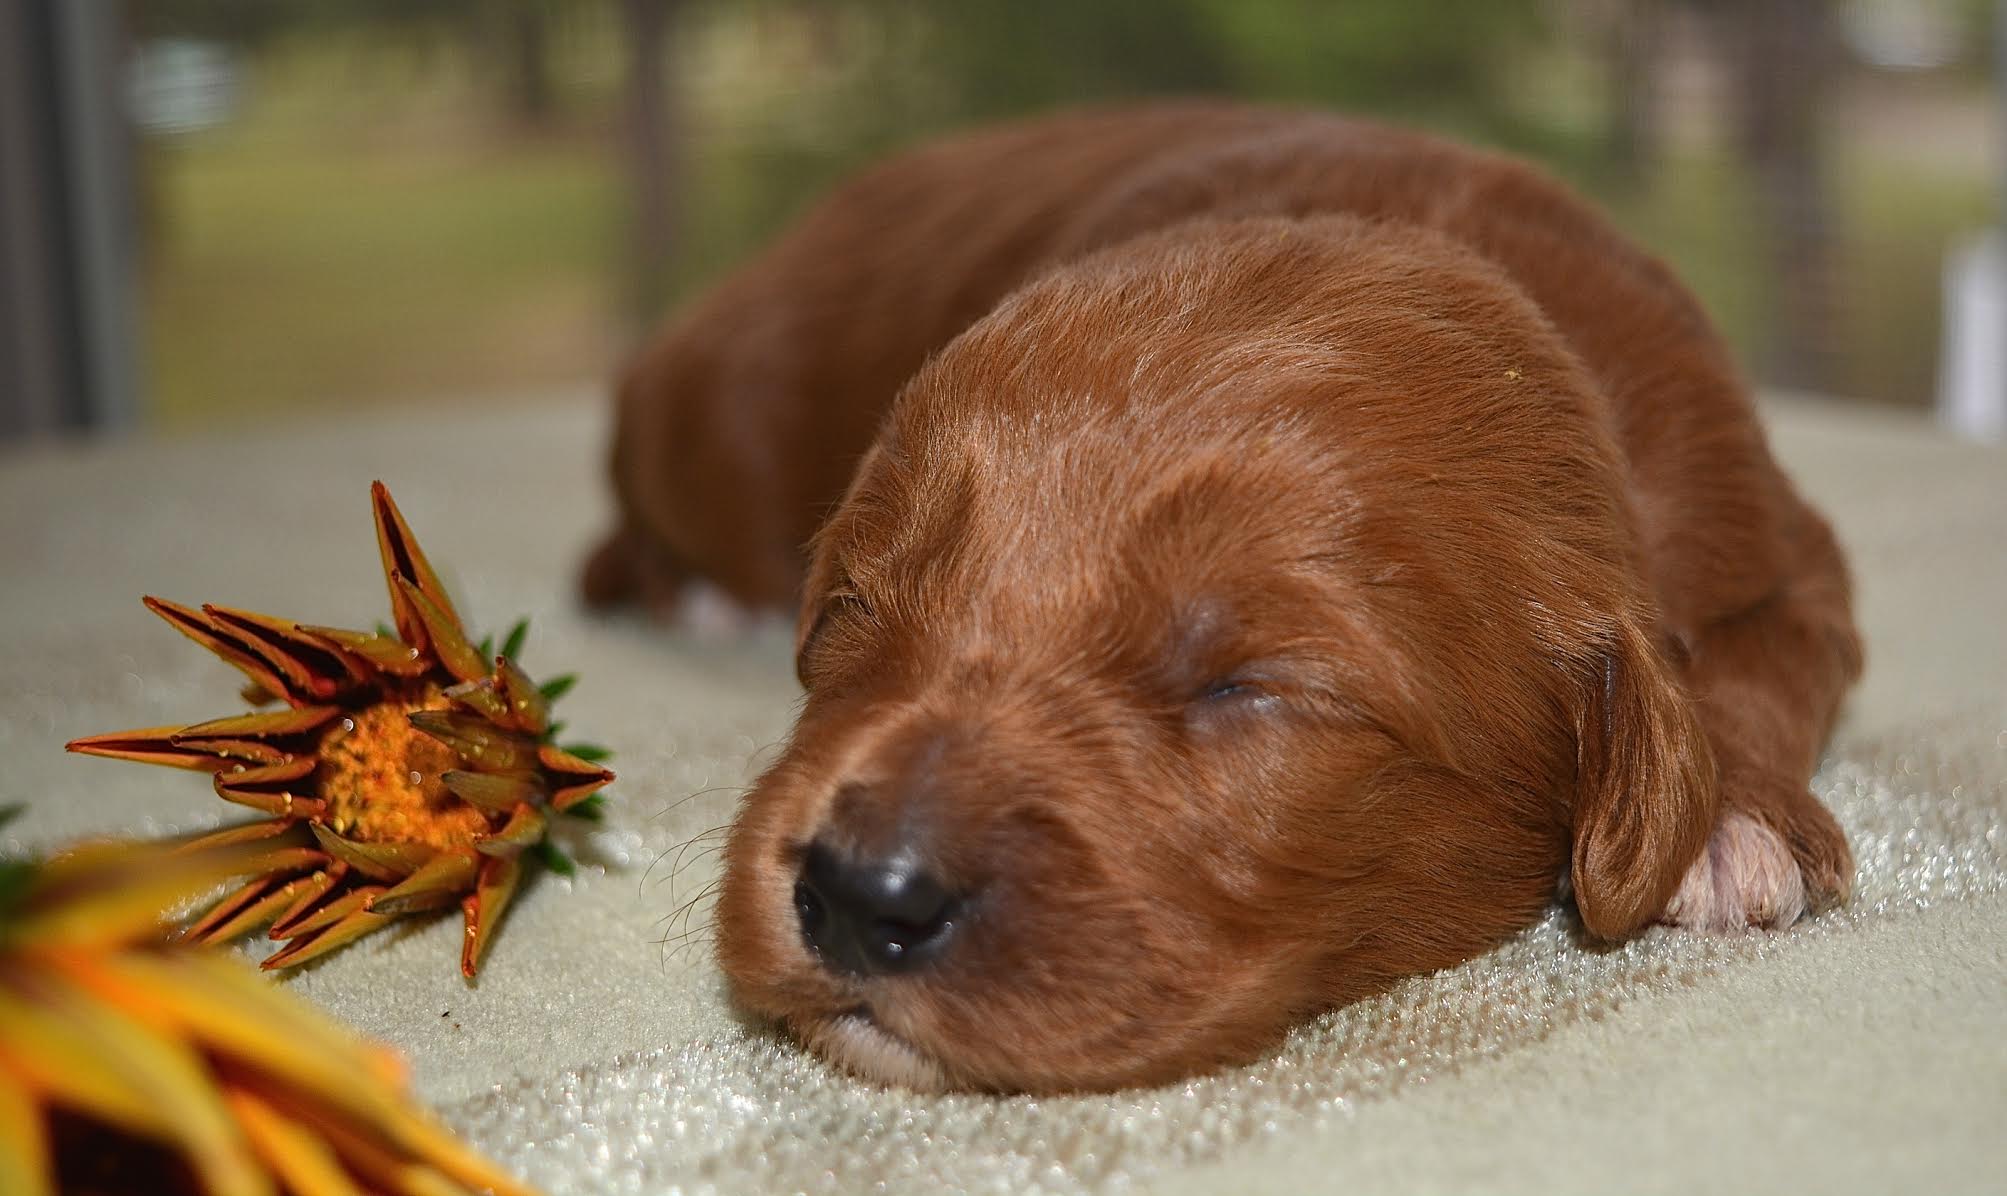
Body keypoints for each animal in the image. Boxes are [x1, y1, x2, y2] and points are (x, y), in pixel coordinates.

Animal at [586, 102, 1862, 1091]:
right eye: (859, 600)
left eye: (1246, 687)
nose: (862, 895)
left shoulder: (1782, 536)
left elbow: (1773, 657)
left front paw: (1735, 816)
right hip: (704, 419)